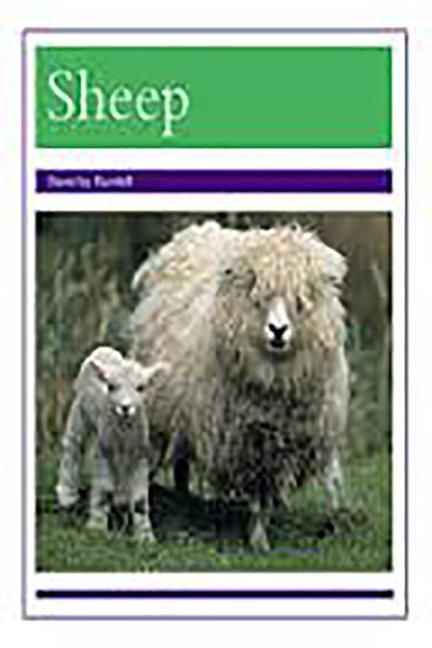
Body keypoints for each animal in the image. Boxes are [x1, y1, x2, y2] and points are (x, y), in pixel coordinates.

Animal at [55, 346, 167, 541]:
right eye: (111, 387)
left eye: (141, 388)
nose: (125, 408)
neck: (123, 433)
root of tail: (104, 349)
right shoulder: (103, 449)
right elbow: (104, 489)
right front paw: (97, 527)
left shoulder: (140, 452)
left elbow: (140, 500)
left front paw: (145, 535)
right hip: (81, 408)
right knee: (73, 443)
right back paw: (67, 494)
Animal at [130, 220, 349, 551]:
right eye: (257, 296)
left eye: (301, 300)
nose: (277, 330)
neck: (274, 379)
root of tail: (195, 232)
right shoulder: (249, 440)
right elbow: (258, 492)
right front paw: (258, 542)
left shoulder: (273, 446)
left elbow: (264, 497)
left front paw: (260, 538)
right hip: (165, 408)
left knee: (181, 462)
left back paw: (184, 498)